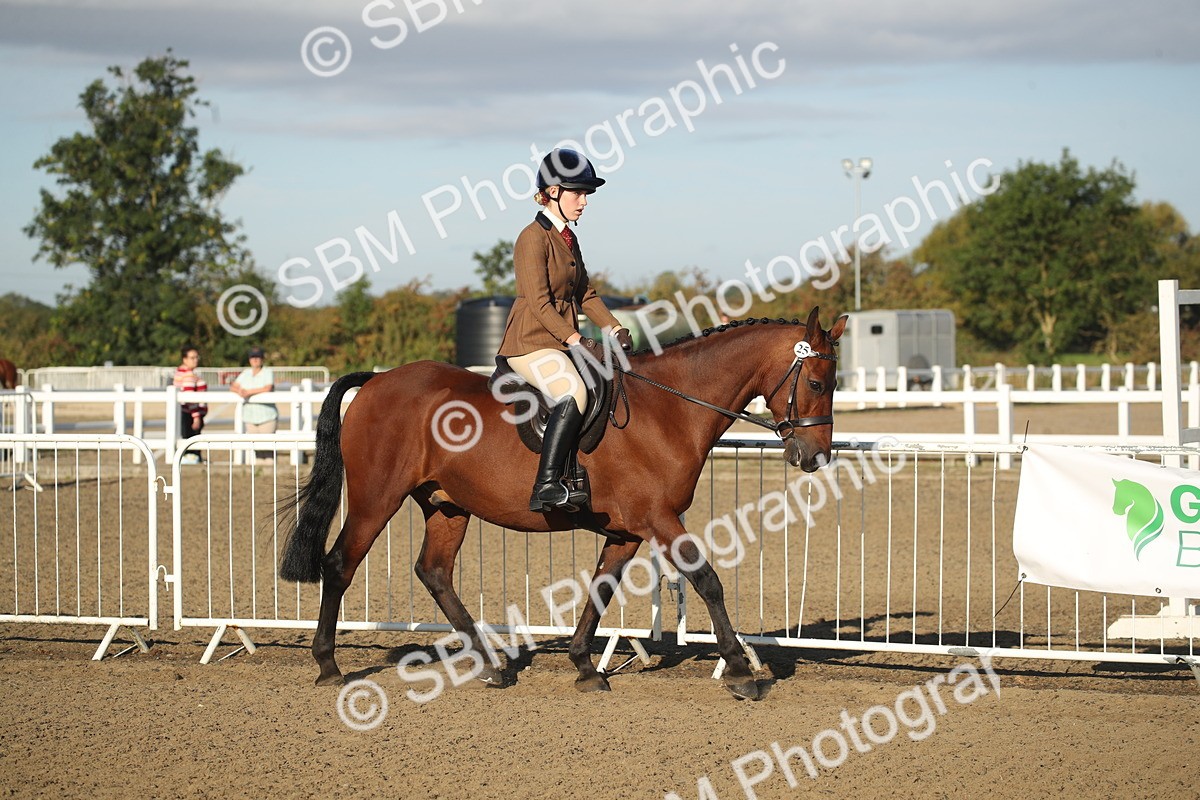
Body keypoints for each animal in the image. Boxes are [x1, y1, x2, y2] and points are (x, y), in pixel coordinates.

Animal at [280, 306, 847, 700]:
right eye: (818, 382)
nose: (815, 456)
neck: (667, 408)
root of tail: (378, 380)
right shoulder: (659, 519)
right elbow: (707, 579)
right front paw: (740, 672)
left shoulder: (627, 530)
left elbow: (600, 589)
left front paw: (583, 666)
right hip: (377, 499)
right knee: (341, 564)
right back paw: (328, 666)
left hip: (447, 505)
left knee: (434, 571)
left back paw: (491, 665)